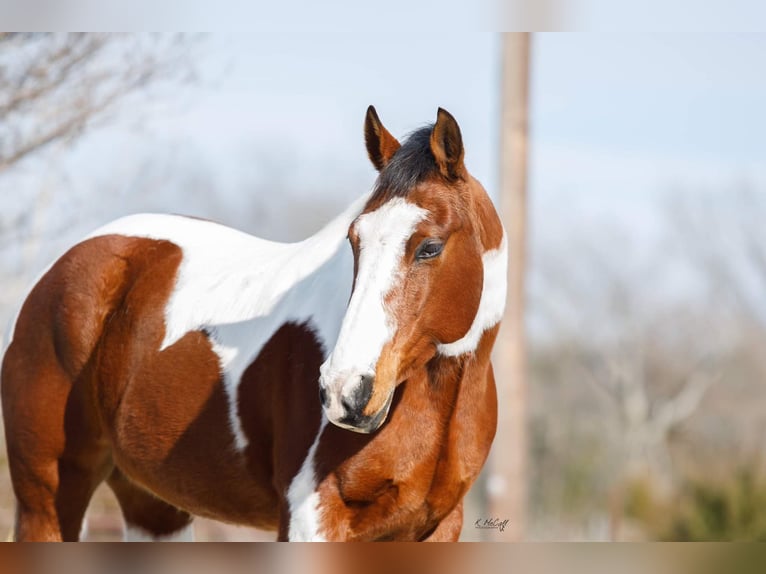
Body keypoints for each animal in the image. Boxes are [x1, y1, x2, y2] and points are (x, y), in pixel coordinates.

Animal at [1, 108, 510, 544]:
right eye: (354, 239)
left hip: (153, 507)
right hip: (47, 501)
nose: (345, 391)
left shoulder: (436, 527)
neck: (437, 399)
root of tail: (63, 266)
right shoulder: (311, 518)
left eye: (430, 247)